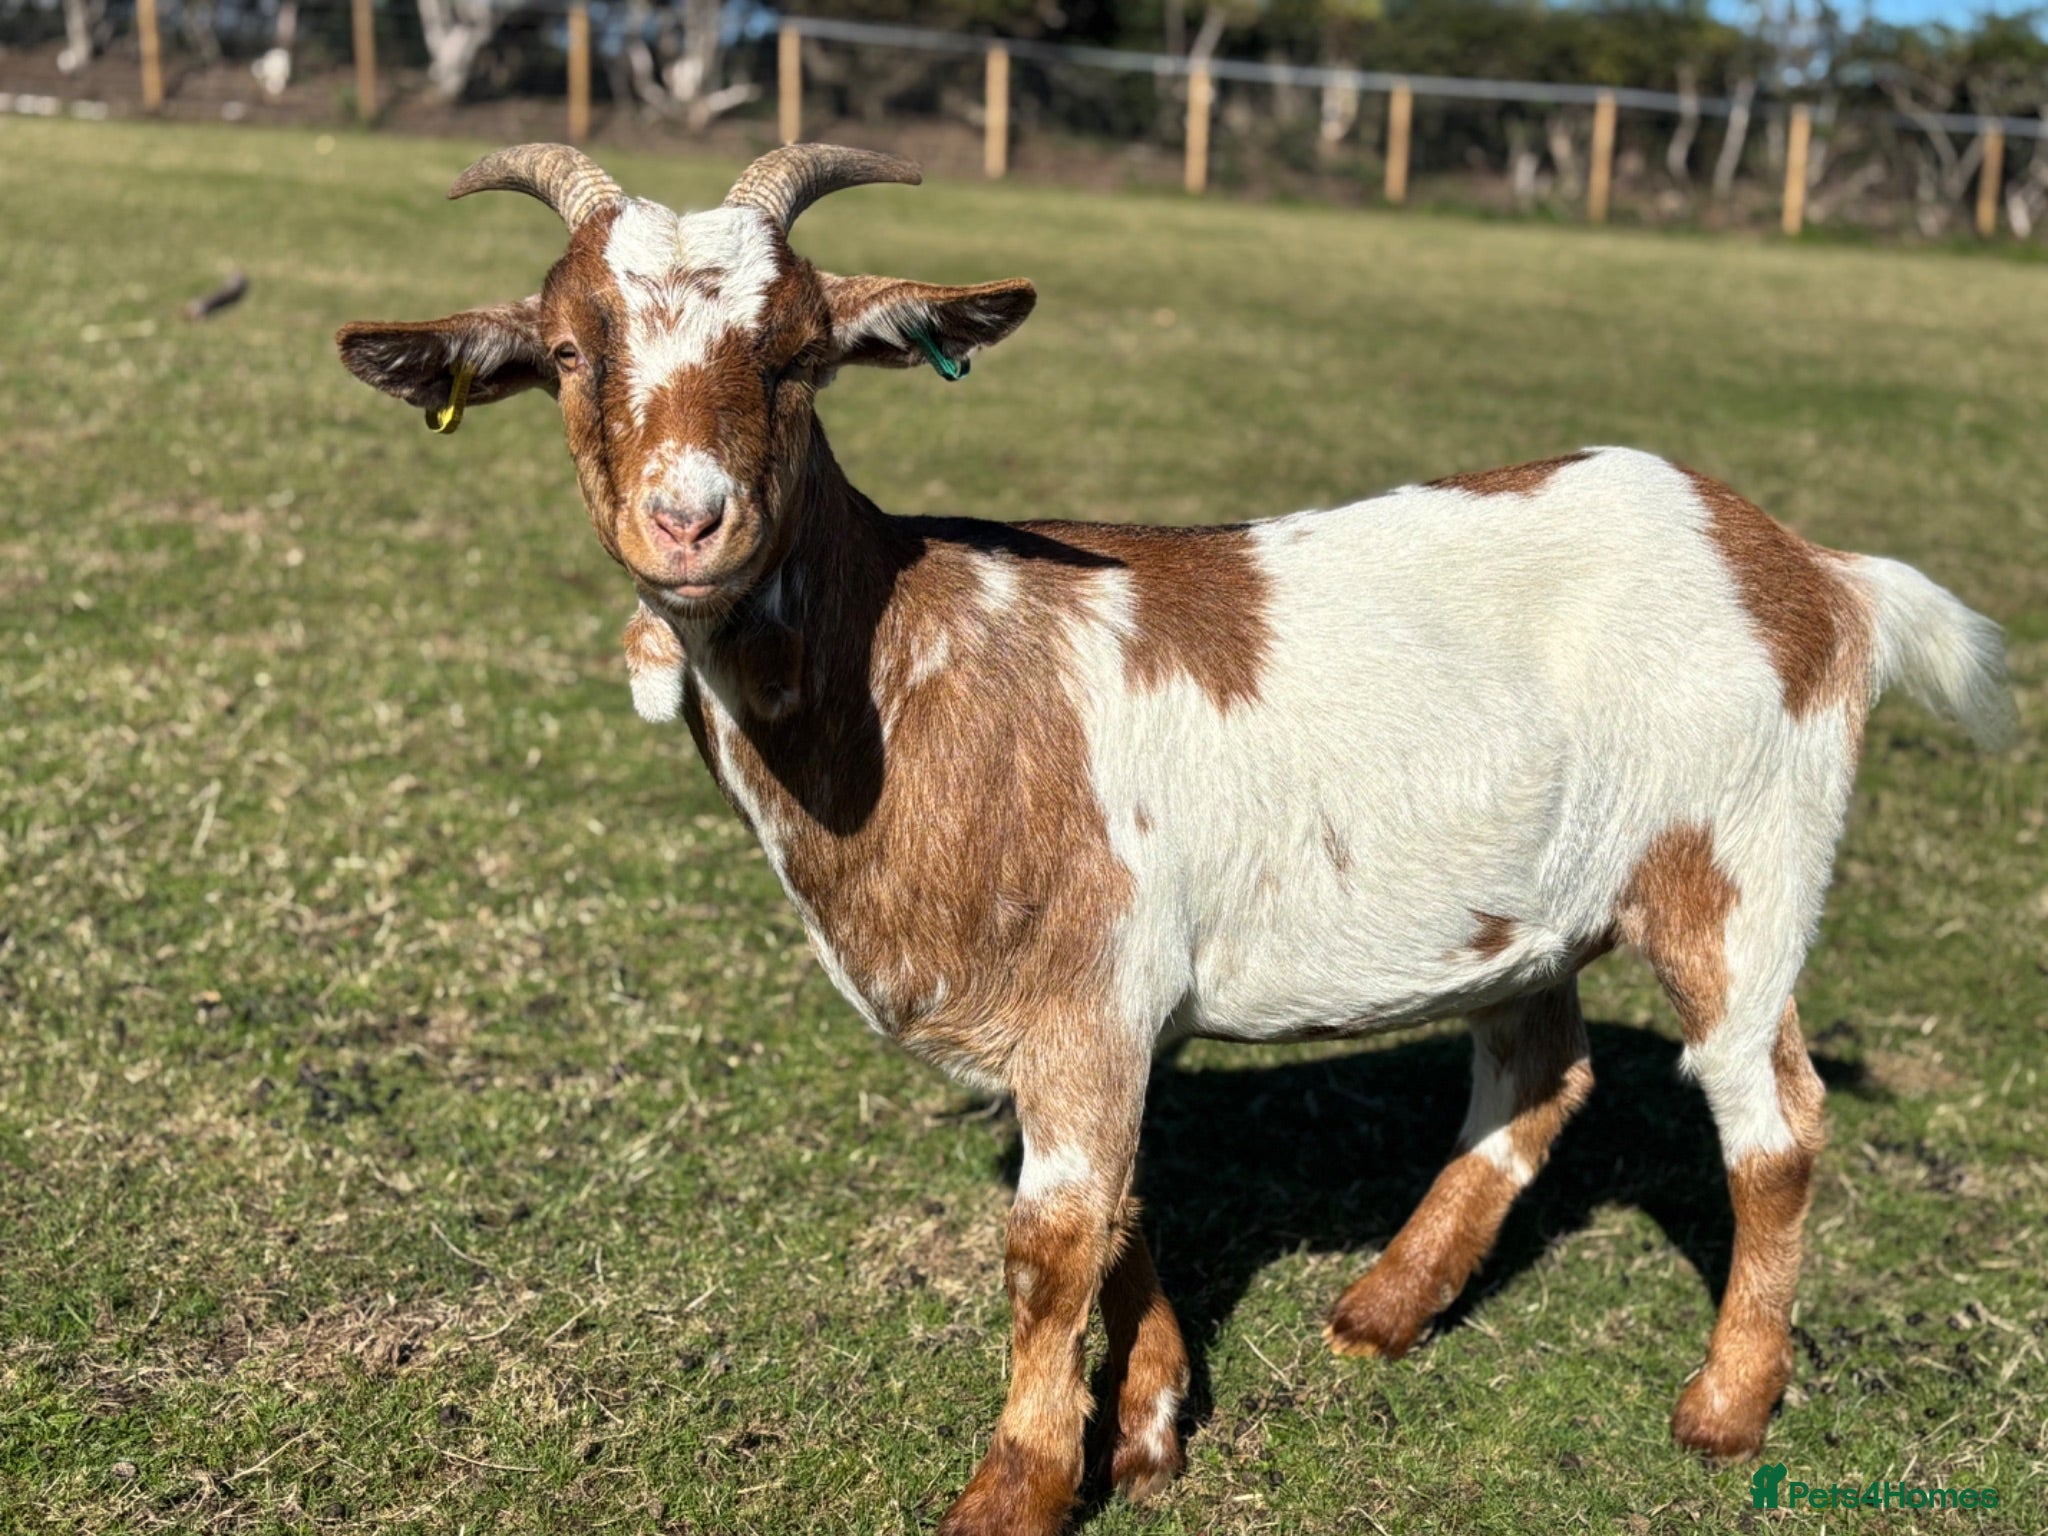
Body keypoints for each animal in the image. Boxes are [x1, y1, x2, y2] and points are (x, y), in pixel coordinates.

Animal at [337, 143, 2018, 1534]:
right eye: (568, 351)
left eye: (803, 354)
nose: (689, 523)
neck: (912, 666)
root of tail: (1809, 568)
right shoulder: (1089, 1025)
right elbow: (1125, 1210)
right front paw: (1145, 1432)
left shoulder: (1092, 988)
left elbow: (1052, 1242)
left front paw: (1016, 1491)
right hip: (1526, 904)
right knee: (1541, 1070)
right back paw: (1387, 1309)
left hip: (1738, 866)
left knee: (1772, 1119)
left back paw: (1726, 1407)